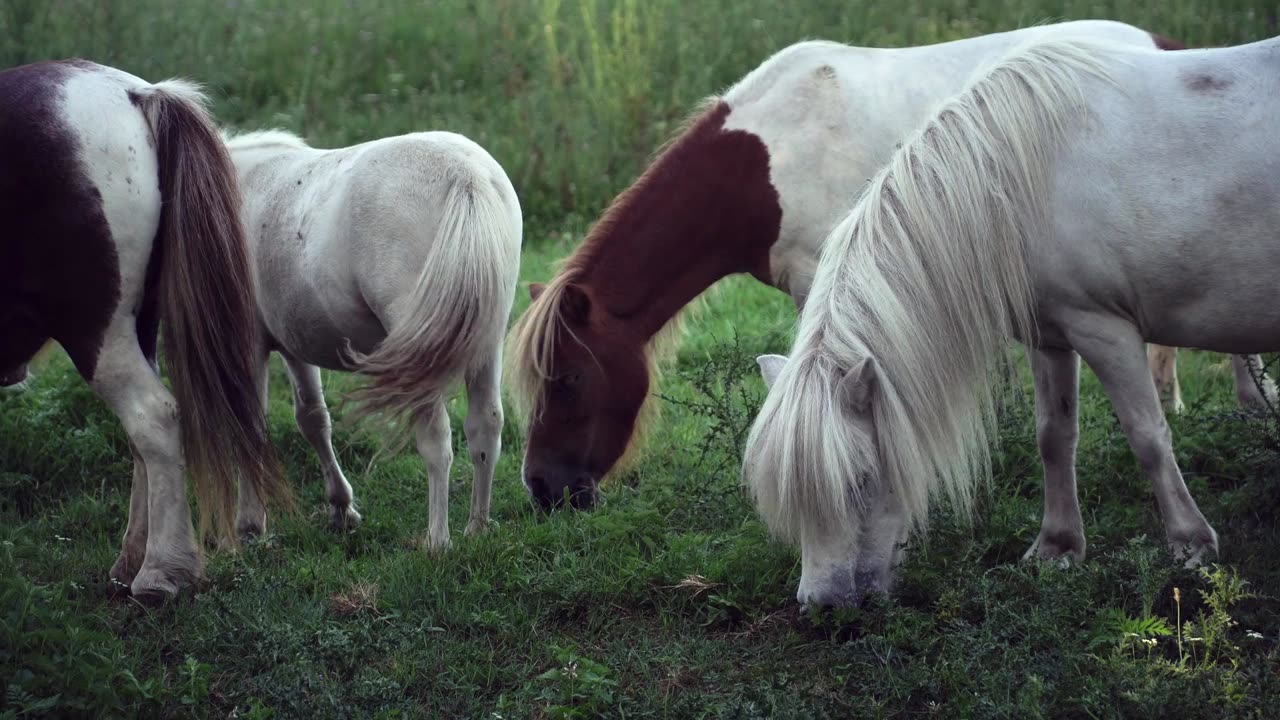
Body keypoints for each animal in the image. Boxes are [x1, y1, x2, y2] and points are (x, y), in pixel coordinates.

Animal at [0, 60, 289, 599]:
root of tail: (138, 94)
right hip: (137, 325)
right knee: (144, 435)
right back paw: (134, 559)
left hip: (94, 331)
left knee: (154, 418)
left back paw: (161, 571)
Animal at [224, 126, 519, 548]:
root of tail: (466, 176)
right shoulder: (293, 343)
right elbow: (313, 419)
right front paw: (340, 509)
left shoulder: (250, 342)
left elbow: (249, 425)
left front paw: (250, 524)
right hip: (487, 344)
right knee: (486, 427)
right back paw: (476, 527)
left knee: (436, 439)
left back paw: (438, 541)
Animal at [742, 33, 1280, 604]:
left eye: (860, 481)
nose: (821, 605)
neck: (1017, 181)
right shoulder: (1052, 335)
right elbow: (1054, 436)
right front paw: (1057, 549)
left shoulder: (1106, 331)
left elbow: (1148, 436)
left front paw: (1190, 545)